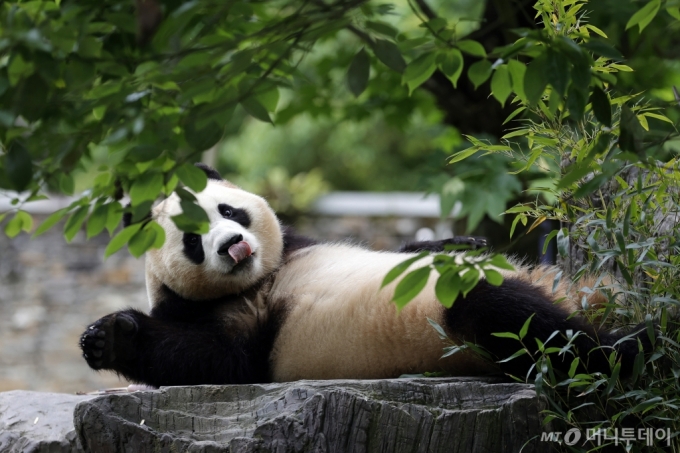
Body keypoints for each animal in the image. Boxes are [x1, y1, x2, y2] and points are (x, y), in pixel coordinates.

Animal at [79, 164, 652, 386]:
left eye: (228, 211)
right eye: (194, 243)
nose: (234, 245)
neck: (262, 276)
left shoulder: (299, 246)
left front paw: (460, 242)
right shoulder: (229, 316)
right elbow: (216, 360)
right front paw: (109, 337)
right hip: (455, 330)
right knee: (516, 320)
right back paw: (633, 346)